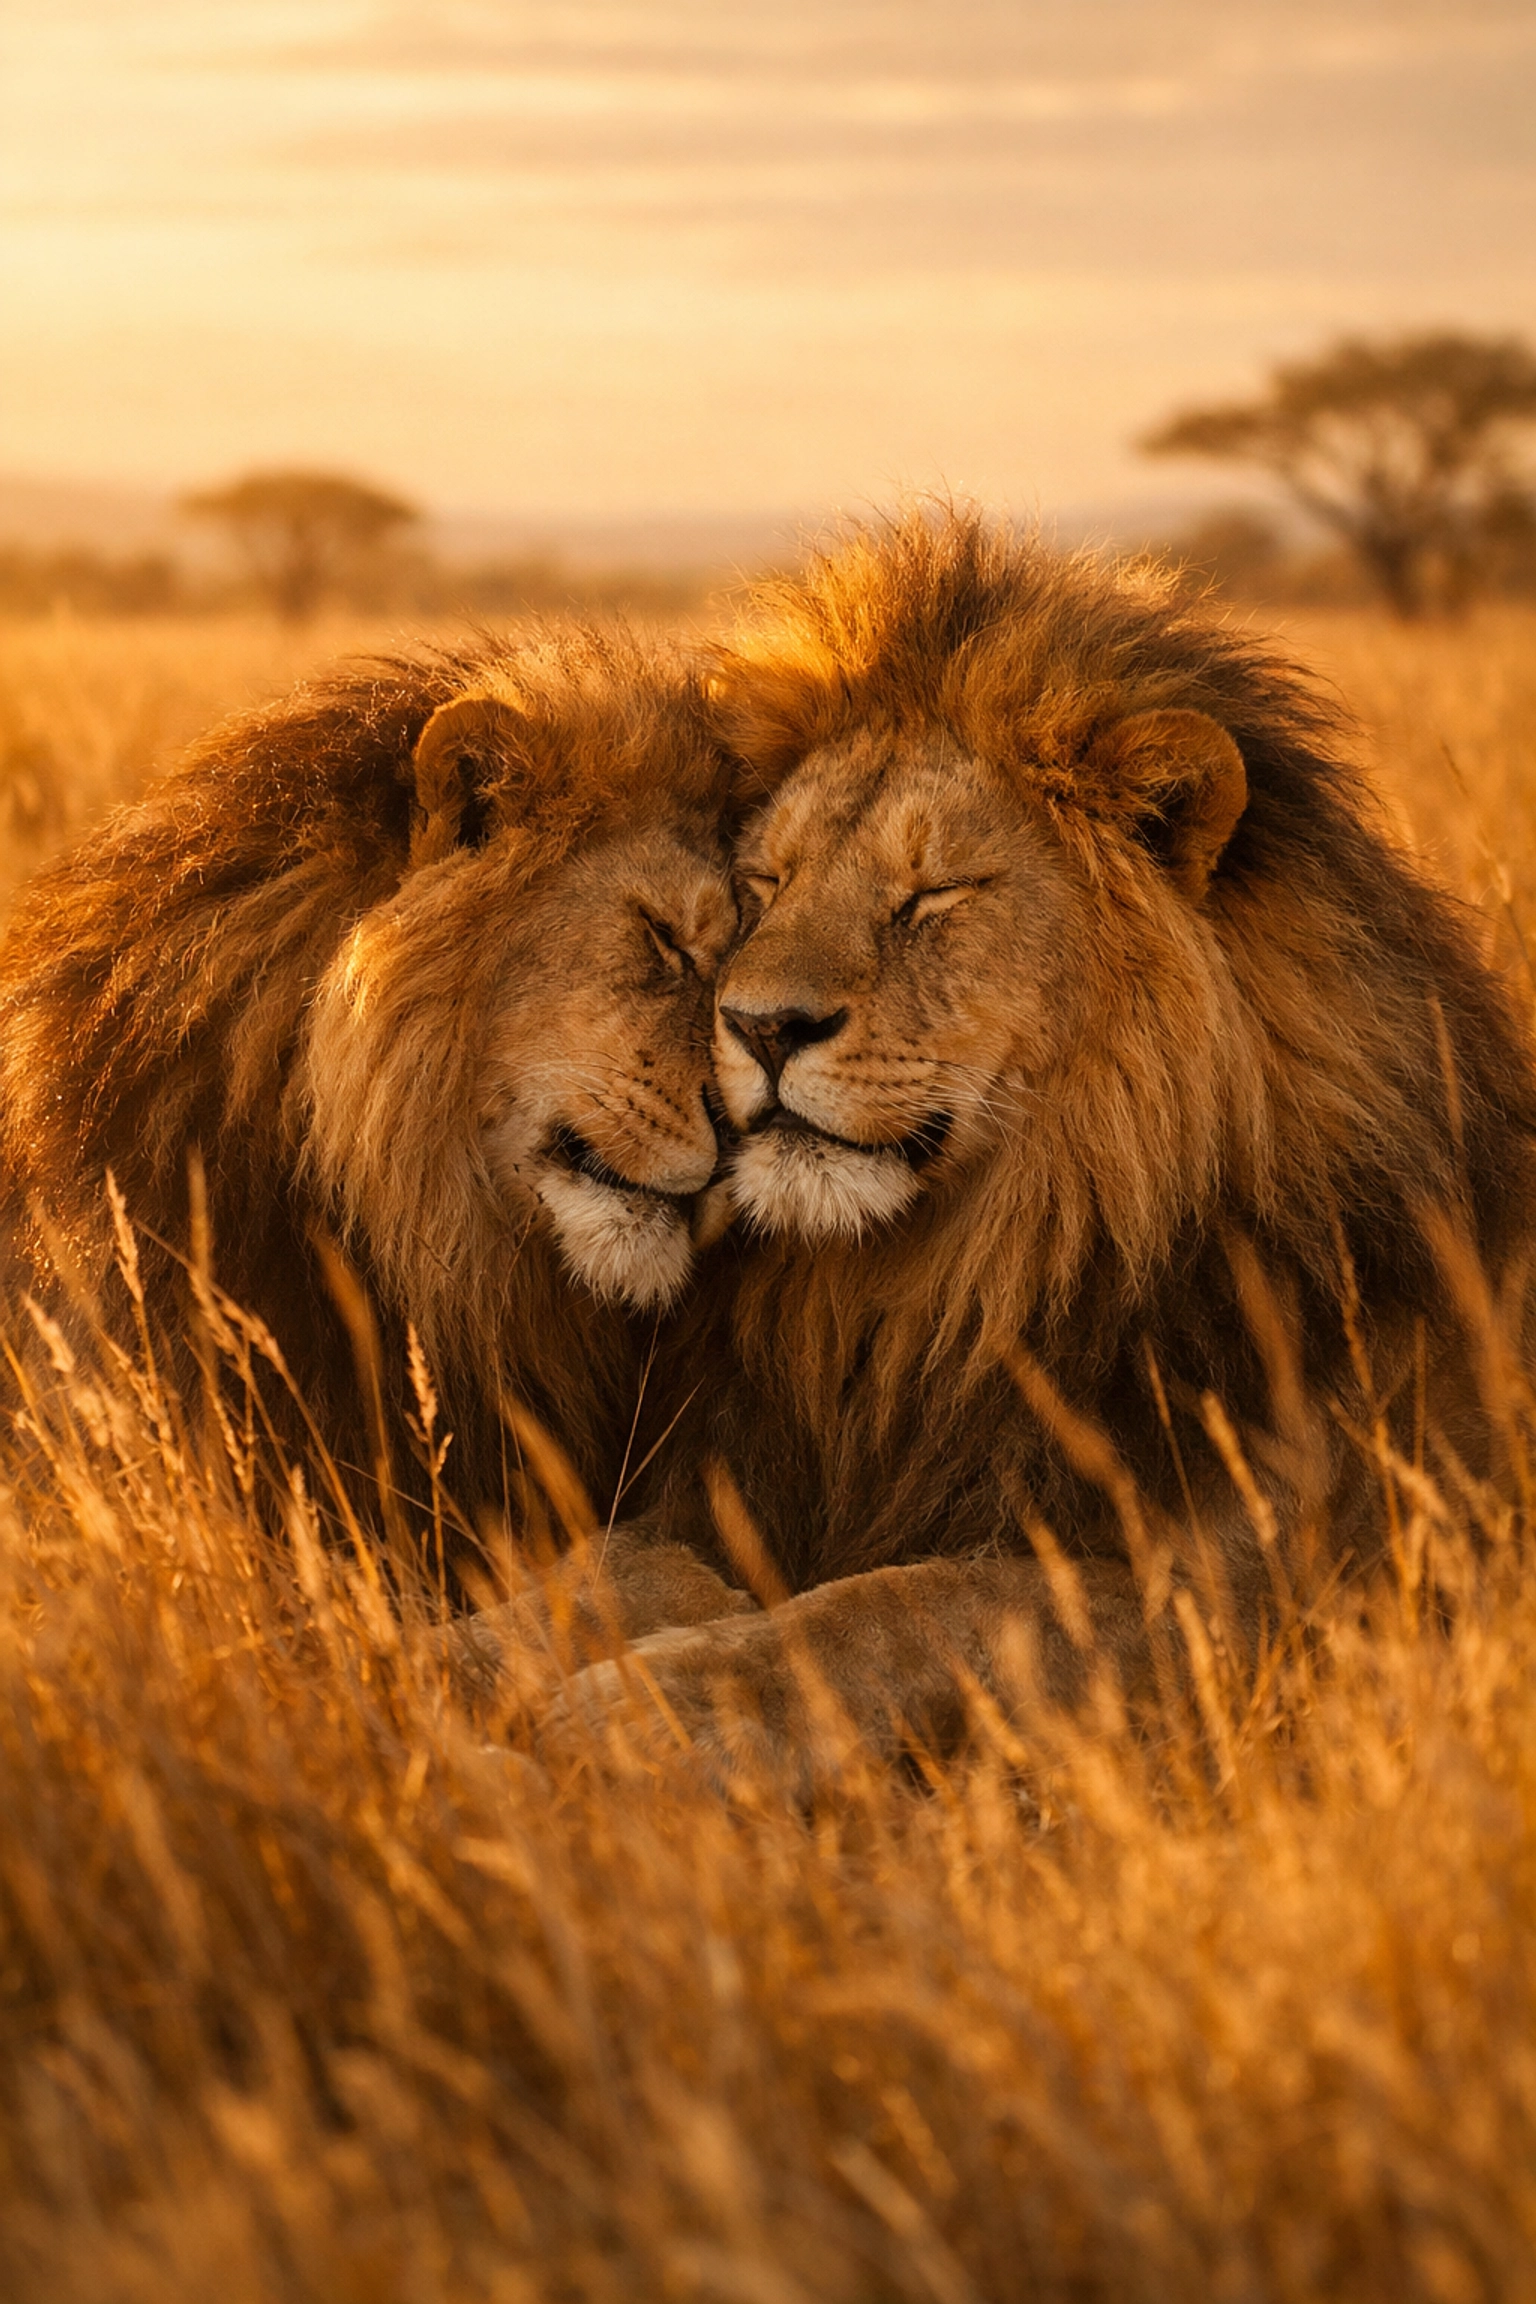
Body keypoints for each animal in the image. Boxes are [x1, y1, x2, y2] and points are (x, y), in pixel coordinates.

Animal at [562, 510, 1536, 1789]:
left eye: (932, 896)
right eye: (765, 882)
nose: (760, 1025)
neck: (971, 1267)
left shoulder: (1259, 1606)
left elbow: (895, 1612)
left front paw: (646, 1710)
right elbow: (592, 1559)